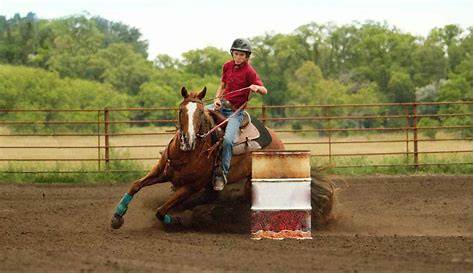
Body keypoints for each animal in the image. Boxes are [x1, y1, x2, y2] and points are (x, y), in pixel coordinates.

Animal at [111, 86, 336, 229]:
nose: (189, 140)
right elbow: (135, 185)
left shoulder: (191, 186)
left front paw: (175, 221)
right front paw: (117, 217)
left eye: (200, 112)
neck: (188, 152)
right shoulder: (162, 171)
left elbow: (160, 210)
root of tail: (280, 145)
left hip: (251, 182)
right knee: (212, 197)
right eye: (181, 110)